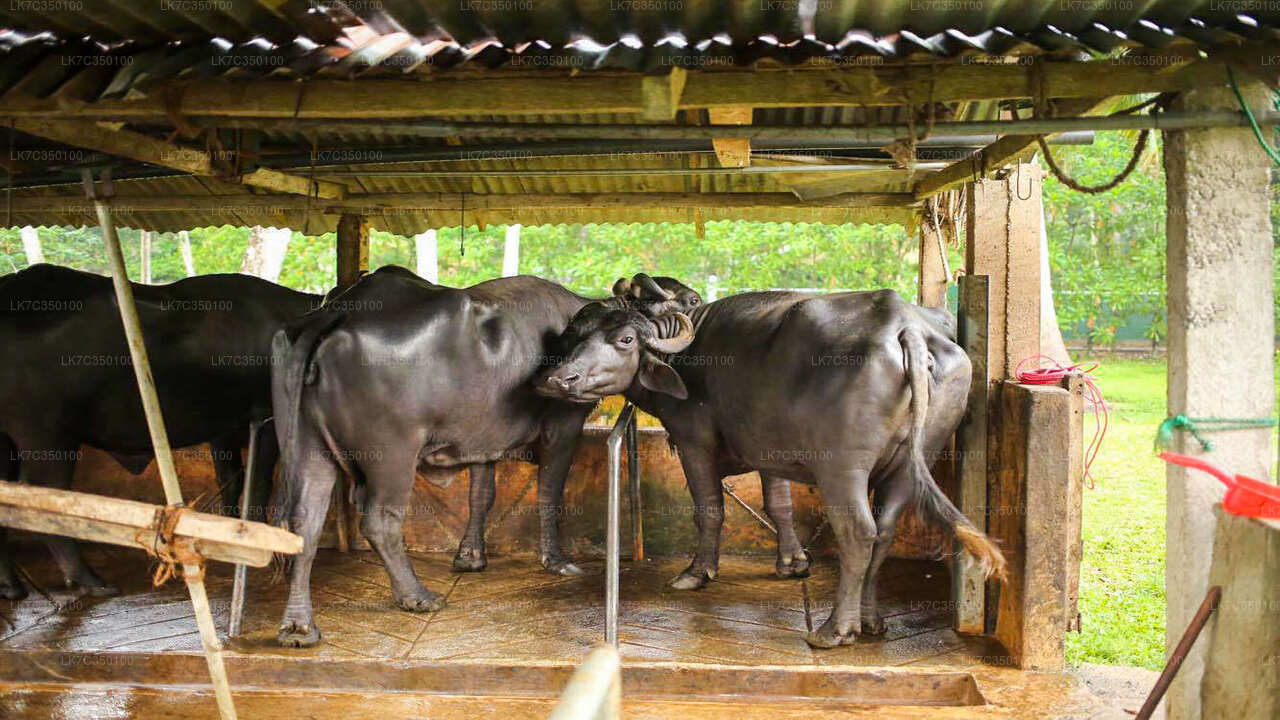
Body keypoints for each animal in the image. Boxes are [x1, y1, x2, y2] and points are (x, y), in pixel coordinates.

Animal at [0, 262, 320, 594]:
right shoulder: (265, 418)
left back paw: (11, 584)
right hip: (47, 437)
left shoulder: (224, 429)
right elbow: (259, 486)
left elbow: (231, 479)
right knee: (42, 501)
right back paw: (91, 581)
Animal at [263, 265, 696, 645]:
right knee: (380, 523)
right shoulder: (563, 425)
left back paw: (299, 627)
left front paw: (470, 556)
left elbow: (481, 495)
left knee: (304, 524)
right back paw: (416, 595)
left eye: (624, 339)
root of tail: (336, 313)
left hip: (308, 446)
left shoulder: (484, 439)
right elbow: (549, 492)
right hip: (393, 455)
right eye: (579, 334)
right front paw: (556, 560)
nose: (555, 379)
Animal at [535, 288, 1003, 648]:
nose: (561, 379)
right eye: (577, 334)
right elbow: (779, 504)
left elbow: (709, 509)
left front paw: (696, 572)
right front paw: (792, 563)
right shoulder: (771, 452)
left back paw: (836, 630)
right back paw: (870, 619)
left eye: (626, 338)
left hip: (842, 468)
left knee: (859, 532)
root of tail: (907, 329)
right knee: (885, 532)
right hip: (912, 462)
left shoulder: (693, 440)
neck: (688, 354)